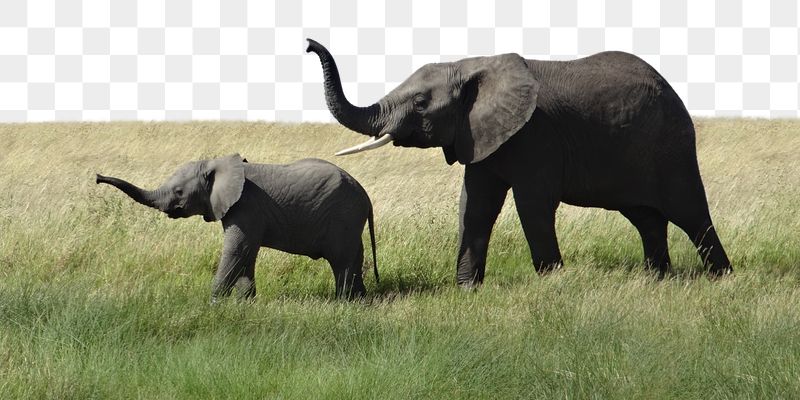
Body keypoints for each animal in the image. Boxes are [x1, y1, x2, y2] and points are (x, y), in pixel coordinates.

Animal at [96, 154, 378, 301]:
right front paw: (246, 303)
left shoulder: (246, 206)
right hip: (350, 221)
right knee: (355, 257)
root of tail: (366, 196)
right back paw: (360, 300)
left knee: (341, 261)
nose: (97, 177)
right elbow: (247, 254)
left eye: (179, 192)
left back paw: (344, 302)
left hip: (344, 216)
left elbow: (236, 250)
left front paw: (214, 304)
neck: (218, 164)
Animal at [306, 38, 731, 287]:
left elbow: (532, 205)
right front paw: (467, 289)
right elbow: (474, 206)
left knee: (690, 212)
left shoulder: (535, 135)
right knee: (646, 218)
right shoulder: (479, 135)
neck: (471, 65)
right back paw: (657, 281)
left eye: (421, 103)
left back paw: (721, 279)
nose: (308, 44)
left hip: (671, 144)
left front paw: (551, 285)